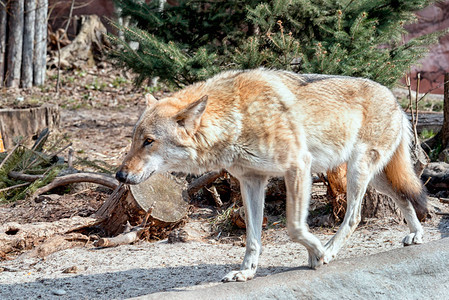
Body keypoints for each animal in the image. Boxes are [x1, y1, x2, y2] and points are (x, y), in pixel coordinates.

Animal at [114, 69, 426, 282]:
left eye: (149, 141)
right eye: (133, 140)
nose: (119, 175)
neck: (237, 118)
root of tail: (396, 100)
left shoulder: (298, 167)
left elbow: (295, 228)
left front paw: (319, 254)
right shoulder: (251, 181)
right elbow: (252, 238)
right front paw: (246, 272)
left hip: (359, 172)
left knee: (355, 217)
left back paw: (332, 250)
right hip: (374, 177)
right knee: (404, 196)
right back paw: (416, 234)